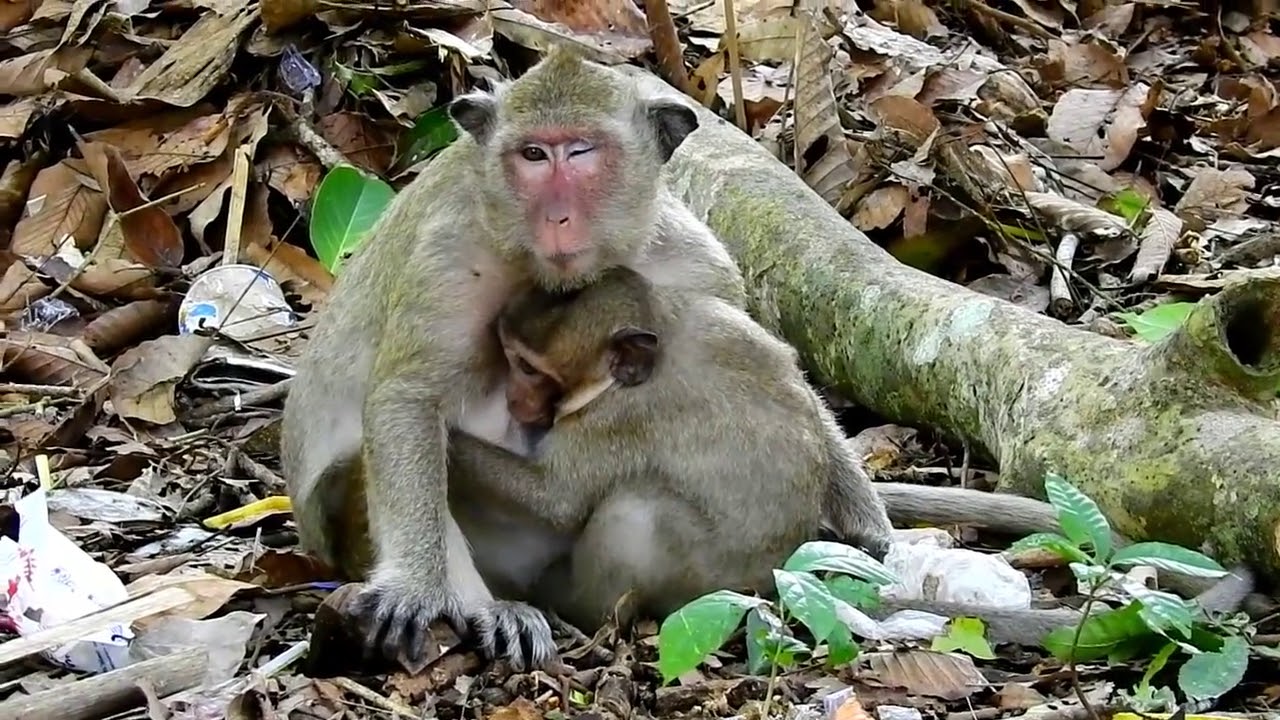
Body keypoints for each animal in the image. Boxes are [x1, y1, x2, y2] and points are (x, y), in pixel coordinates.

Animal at [280, 46, 748, 672]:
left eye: (581, 152)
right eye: (532, 155)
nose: (556, 217)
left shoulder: (687, 262)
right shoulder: (453, 253)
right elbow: (408, 401)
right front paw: (423, 589)